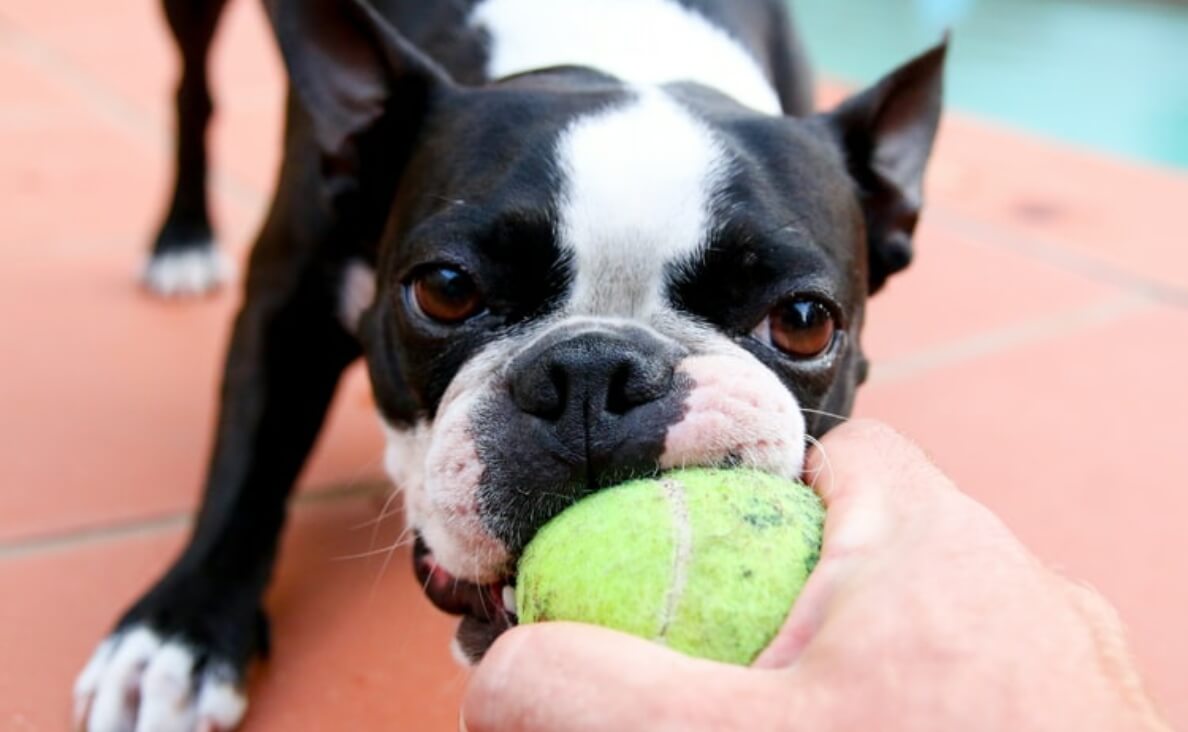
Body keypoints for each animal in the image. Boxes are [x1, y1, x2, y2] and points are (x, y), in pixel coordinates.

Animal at [74, 1, 945, 727]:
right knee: (191, 88)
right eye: (445, 289)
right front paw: (176, 637)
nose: (596, 372)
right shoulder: (287, 299)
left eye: (802, 322)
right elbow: (248, 467)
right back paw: (182, 238)